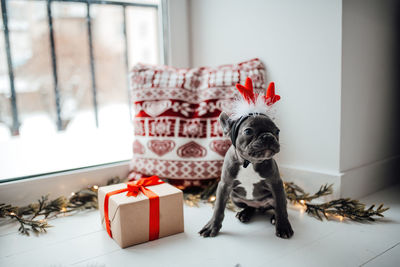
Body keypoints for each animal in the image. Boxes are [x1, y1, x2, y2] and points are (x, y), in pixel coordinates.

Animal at [200, 112, 294, 240]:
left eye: (277, 131)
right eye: (248, 131)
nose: (268, 136)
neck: (250, 162)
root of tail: (260, 207)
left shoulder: (276, 184)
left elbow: (280, 208)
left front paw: (283, 226)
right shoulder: (224, 185)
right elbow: (218, 208)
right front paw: (212, 226)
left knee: (279, 207)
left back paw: (274, 218)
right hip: (234, 198)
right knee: (250, 207)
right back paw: (244, 213)